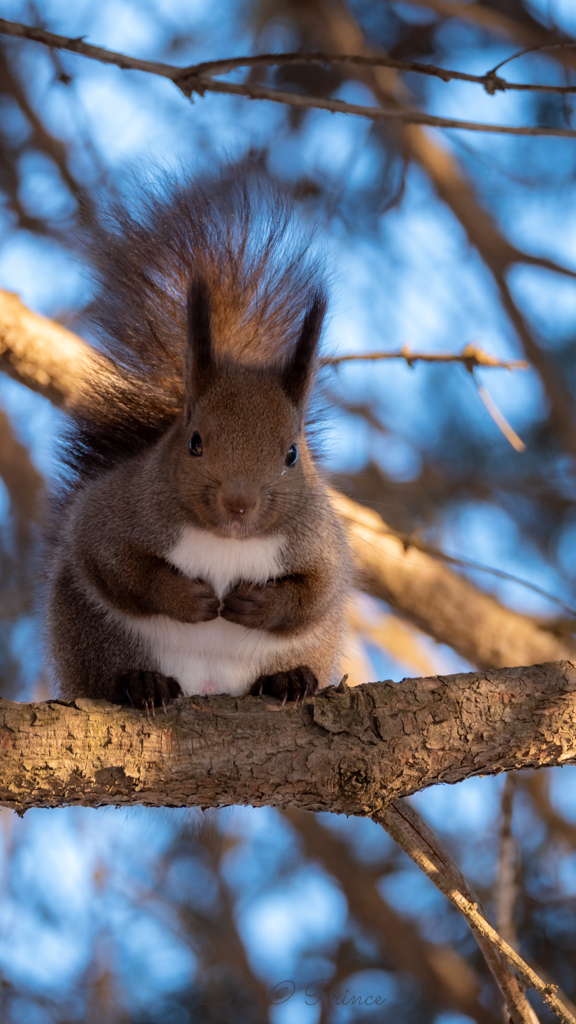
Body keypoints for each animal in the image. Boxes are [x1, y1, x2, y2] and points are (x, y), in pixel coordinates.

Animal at [43, 167, 350, 712]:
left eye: (292, 454)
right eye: (195, 443)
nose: (239, 504)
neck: (226, 541)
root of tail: (207, 685)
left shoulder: (320, 540)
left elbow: (317, 592)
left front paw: (258, 603)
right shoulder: (115, 514)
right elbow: (118, 566)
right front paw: (188, 598)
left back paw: (289, 679)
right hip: (93, 636)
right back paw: (142, 683)